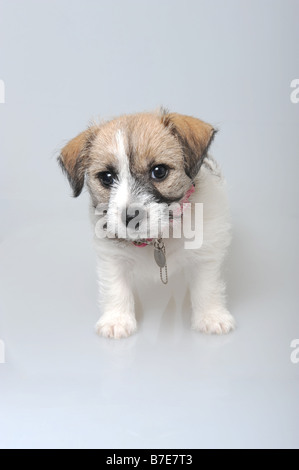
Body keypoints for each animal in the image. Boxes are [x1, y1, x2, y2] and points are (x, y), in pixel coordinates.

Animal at [59, 110, 237, 338]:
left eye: (159, 171)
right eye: (107, 177)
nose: (130, 216)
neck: (157, 238)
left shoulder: (205, 255)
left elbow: (207, 287)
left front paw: (211, 317)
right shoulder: (112, 258)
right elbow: (116, 288)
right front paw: (117, 320)